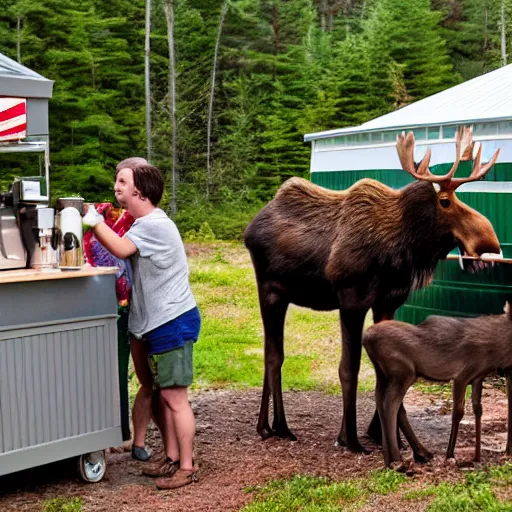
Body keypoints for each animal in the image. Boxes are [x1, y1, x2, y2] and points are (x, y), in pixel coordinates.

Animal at [244, 127, 500, 452]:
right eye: (445, 201)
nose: (490, 242)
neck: (401, 250)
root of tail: (250, 229)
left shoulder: (387, 303)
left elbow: (384, 370)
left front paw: (386, 437)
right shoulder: (351, 301)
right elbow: (348, 369)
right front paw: (350, 438)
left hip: (282, 296)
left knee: (271, 351)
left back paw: (271, 426)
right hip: (269, 291)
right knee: (273, 356)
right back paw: (274, 426)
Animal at [364, 304, 512, 468]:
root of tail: (366, 338)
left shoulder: (478, 377)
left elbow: (478, 409)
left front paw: (477, 456)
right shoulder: (462, 376)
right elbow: (458, 412)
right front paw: (450, 455)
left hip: (383, 373)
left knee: (382, 400)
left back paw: (413, 454)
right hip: (403, 372)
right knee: (390, 404)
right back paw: (397, 459)